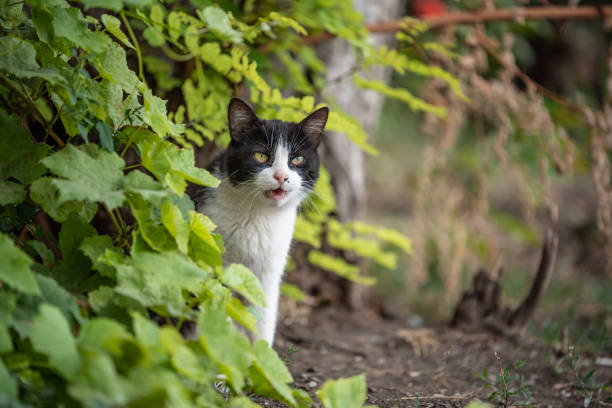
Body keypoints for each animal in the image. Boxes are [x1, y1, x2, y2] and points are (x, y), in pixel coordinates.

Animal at [197, 98, 330, 344]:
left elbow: (263, 320)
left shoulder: (268, 275)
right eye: (260, 156)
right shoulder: (214, 255)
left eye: (297, 159)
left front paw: (260, 353)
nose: (281, 176)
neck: (258, 215)